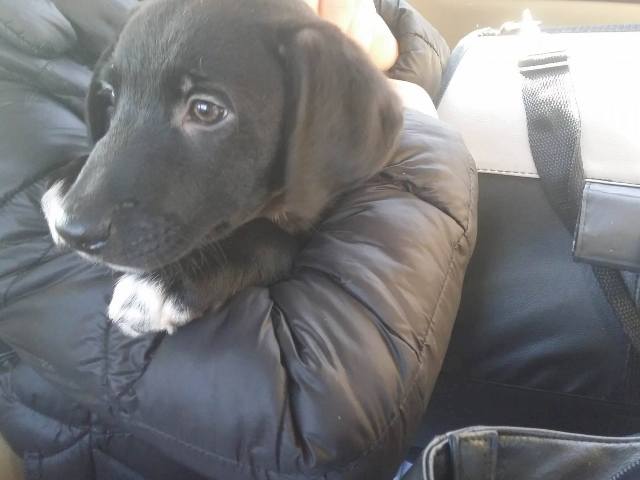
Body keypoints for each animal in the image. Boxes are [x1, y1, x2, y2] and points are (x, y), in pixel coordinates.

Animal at [41, 0, 402, 336]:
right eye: (112, 98)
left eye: (205, 110)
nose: (73, 231)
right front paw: (68, 176)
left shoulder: (310, 216)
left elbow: (265, 238)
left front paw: (167, 280)